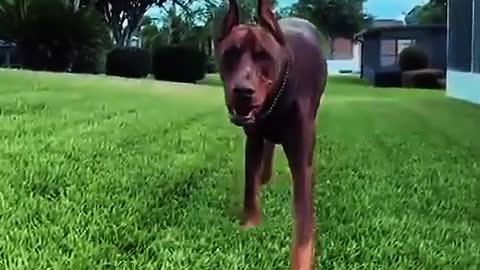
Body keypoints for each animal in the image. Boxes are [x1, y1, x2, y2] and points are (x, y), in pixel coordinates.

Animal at [216, 1, 328, 268]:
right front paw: (250, 225)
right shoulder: (253, 141)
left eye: (264, 56)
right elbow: (250, 186)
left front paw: (302, 260)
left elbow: (304, 218)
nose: (243, 91)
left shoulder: (301, 158)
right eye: (230, 53)